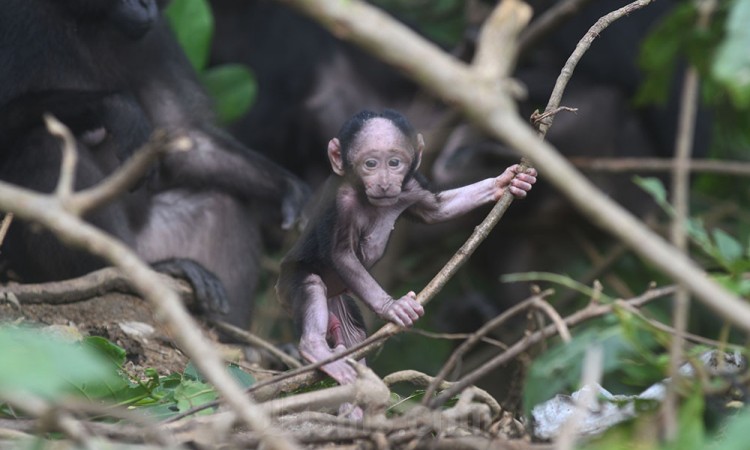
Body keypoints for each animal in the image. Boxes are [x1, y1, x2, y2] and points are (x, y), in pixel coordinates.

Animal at [280, 110, 536, 384]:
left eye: (394, 163)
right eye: (370, 164)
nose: (384, 182)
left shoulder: (411, 186)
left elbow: (437, 209)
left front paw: (505, 182)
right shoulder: (340, 200)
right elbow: (341, 255)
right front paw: (392, 307)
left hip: (338, 301)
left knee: (353, 336)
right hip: (289, 280)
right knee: (311, 284)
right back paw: (315, 348)